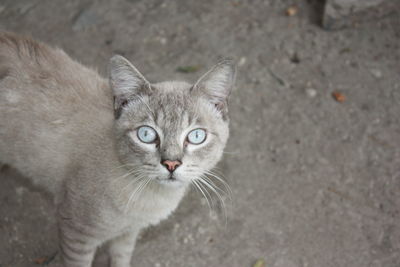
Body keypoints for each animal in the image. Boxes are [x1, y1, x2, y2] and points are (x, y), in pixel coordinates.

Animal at [0, 31, 236, 267]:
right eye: (146, 134)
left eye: (196, 136)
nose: (171, 164)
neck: (150, 196)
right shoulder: (76, 234)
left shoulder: (128, 232)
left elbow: (121, 258)